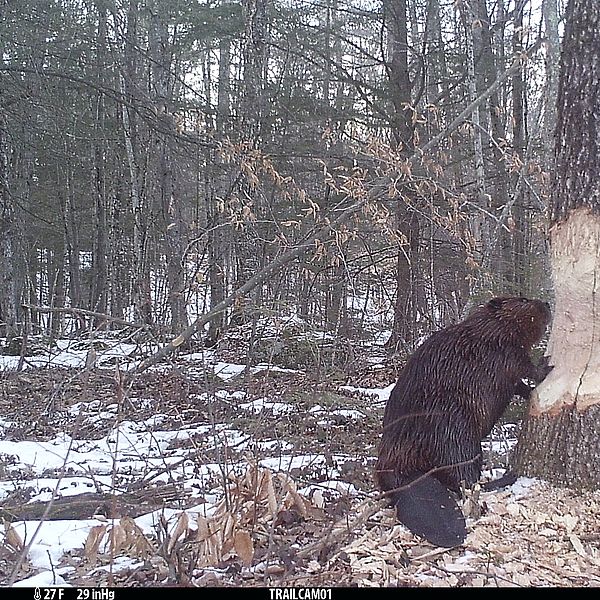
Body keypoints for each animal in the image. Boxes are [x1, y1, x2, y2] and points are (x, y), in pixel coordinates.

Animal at [378, 298, 556, 548]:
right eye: (522, 300)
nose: (547, 304)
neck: (488, 331)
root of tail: (402, 473)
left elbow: (517, 384)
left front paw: (529, 391)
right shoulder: (505, 352)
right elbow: (524, 367)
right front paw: (547, 364)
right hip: (455, 433)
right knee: (465, 480)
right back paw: (507, 477)